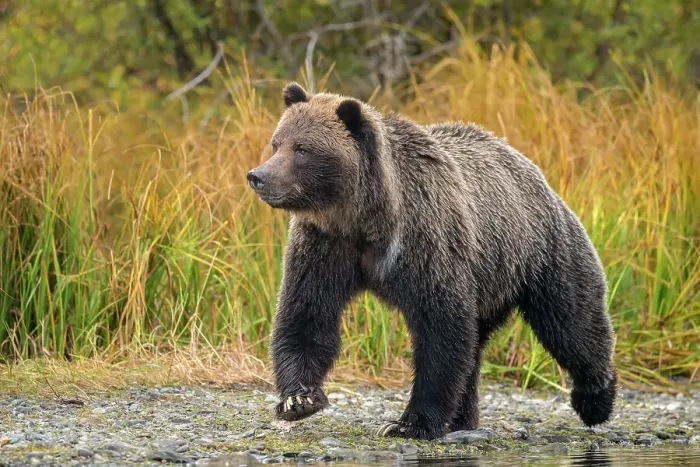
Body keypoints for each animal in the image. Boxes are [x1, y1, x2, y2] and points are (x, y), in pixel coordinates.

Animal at [246, 82, 617, 440]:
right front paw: (298, 400)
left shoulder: (427, 241)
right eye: (276, 144)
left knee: (571, 324)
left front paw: (410, 424)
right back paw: (462, 418)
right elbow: (307, 314)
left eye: (302, 149)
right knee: (477, 347)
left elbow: (441, 329)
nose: (258, 176)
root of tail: (532, 169)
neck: (364, 219)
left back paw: (596, 399)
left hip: (542, 252)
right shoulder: (324, 245)